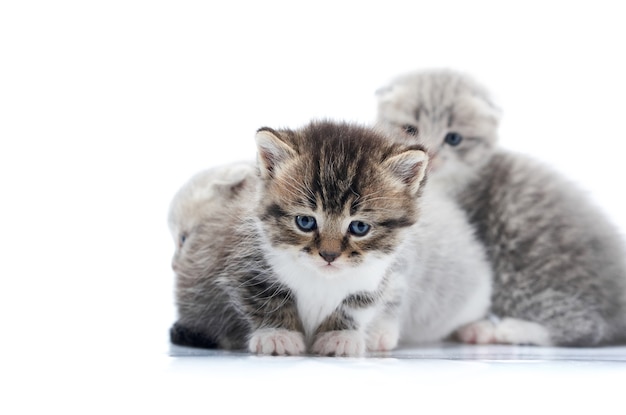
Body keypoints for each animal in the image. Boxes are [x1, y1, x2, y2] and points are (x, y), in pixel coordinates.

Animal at [168, 121, 490, 358]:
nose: (329, 255)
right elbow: (266, 300)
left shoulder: (378, 275)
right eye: (305, 222)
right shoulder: (248, 263)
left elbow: (357, 304)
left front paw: (340, 337)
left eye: (359, 227)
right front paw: (278, 335)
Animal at [372, 69, 624, 348]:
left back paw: (504, 330)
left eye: (453, 138)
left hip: (521, 276)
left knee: (585, 327)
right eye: (410, 129)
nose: (431, 154)